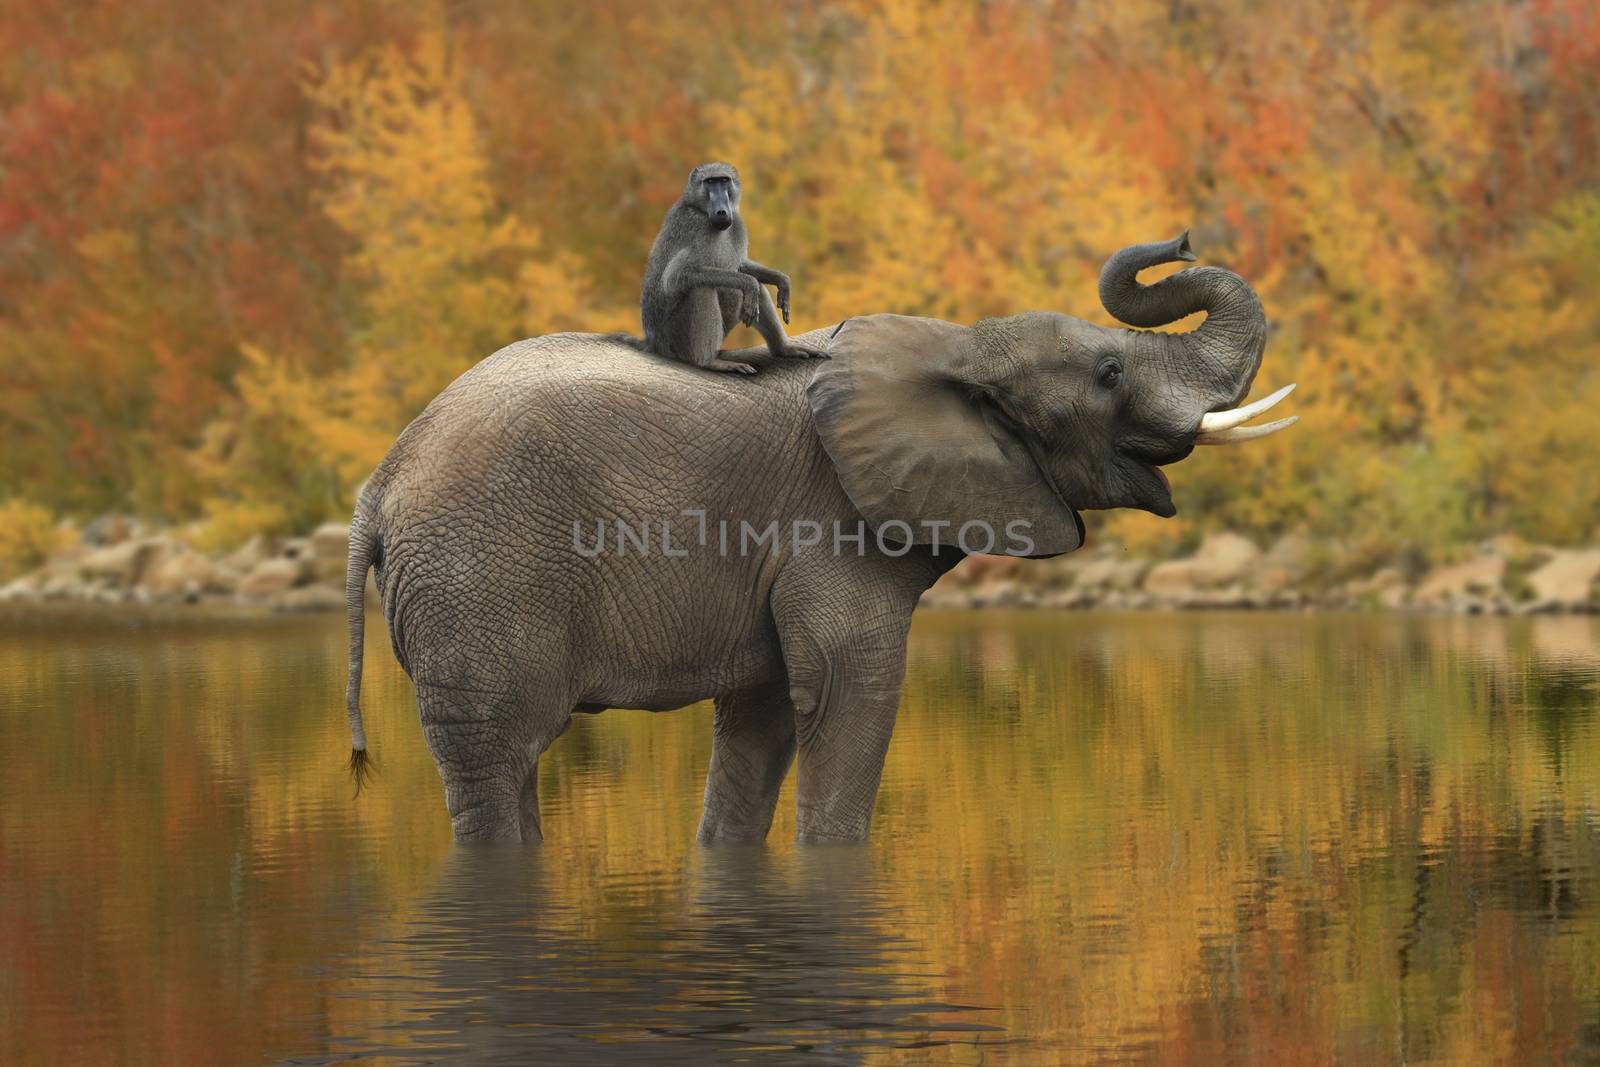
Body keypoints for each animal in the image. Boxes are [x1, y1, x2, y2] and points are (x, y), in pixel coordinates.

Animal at [340, 231, 1299, 844]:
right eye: (1107, 373)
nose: (1179, 240)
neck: (955, 345)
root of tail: (377, 485)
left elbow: (762, 717)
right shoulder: (832, 526)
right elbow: (850, 694)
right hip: (478, 579)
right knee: (496, 758)